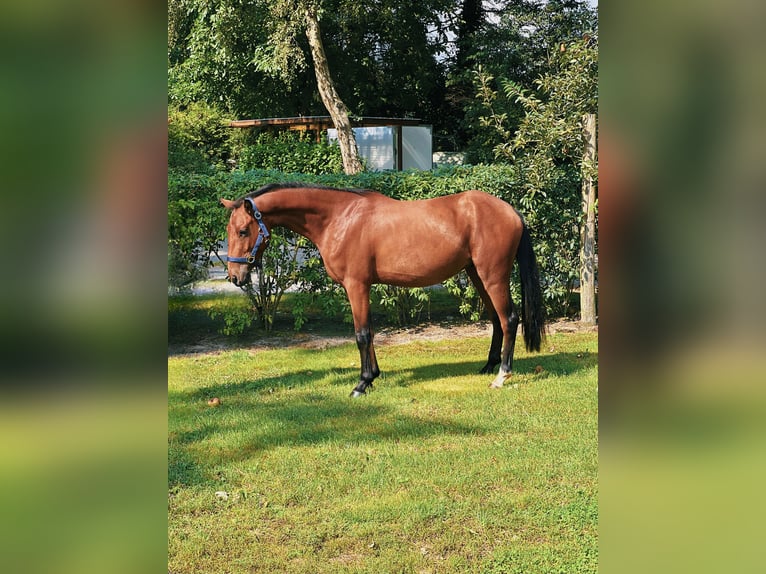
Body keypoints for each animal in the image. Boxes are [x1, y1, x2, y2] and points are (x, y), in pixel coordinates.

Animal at [222, 183, 544, 396]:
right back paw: (489, 366)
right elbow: (371, 332)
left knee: (509, 319)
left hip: (493, 276)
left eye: (243, 231)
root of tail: (511, 212)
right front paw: (373, 376)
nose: (236, 276)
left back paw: (501, 375)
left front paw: (362, 383)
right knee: (496, 320)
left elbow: (362, 334)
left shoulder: (356, 285)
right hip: (476, 274)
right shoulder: (362, 287)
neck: (339, 218)